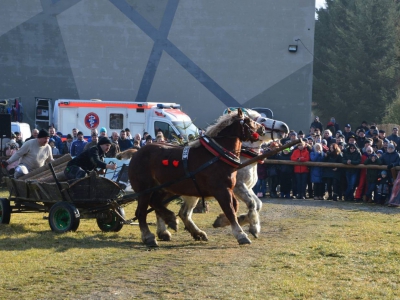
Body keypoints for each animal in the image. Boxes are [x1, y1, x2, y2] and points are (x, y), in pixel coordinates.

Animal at [128, 108, 264, 246]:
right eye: (249, 120)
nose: (262, 128)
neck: (217, 155)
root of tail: (137, 153)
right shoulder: (221, 190)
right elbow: (230, 210)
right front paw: (241, 235)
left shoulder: (229, 189)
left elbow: (234, 208)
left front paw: (221, 221)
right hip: (144, 190)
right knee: (141, 212)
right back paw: (149, 236)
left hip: (165, 188)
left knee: (157, 203)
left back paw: (174, 223)